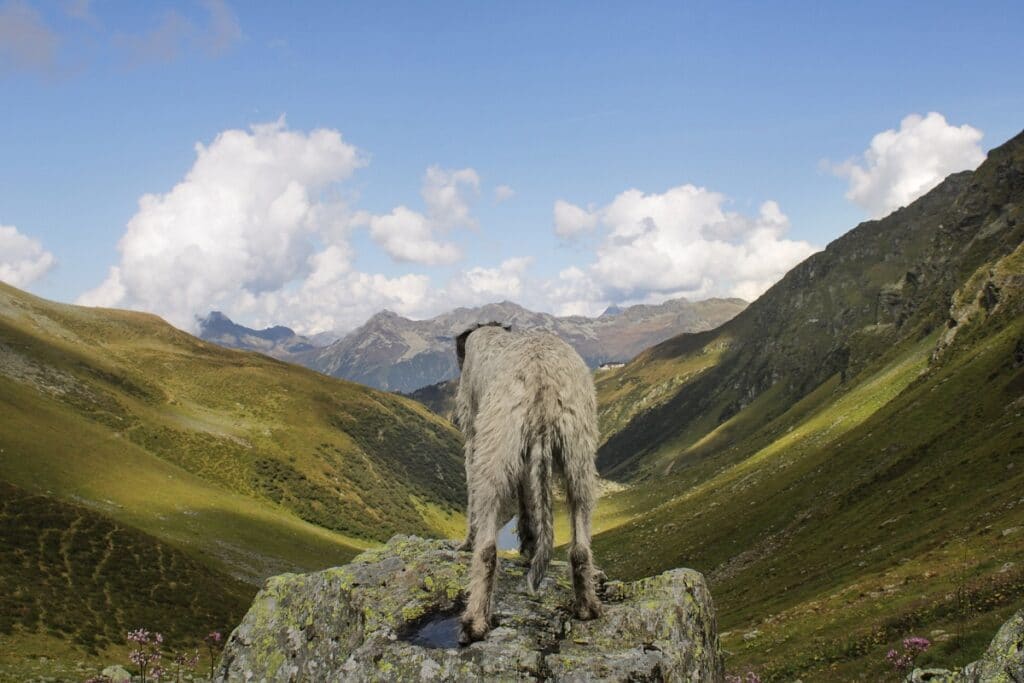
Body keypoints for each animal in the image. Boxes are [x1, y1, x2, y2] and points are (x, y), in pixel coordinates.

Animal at [454, 323, 602, 643]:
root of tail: (542, 381)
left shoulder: (474, 434)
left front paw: (466, 541)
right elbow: (525, 499)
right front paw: (529, 545)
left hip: (495, 449)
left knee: (488, 548)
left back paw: (474, 622)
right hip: (579, 453)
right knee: (580, 538)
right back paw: (587, 605)